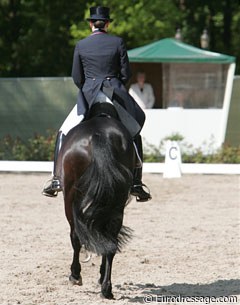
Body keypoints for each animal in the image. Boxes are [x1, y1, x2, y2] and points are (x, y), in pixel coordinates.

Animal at [55, 103, 136, 298]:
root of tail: (99, 134)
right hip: (116, 202)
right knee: (111, 241)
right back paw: (106, 288)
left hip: (70, 197)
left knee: (75, 236)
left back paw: (76, 275)